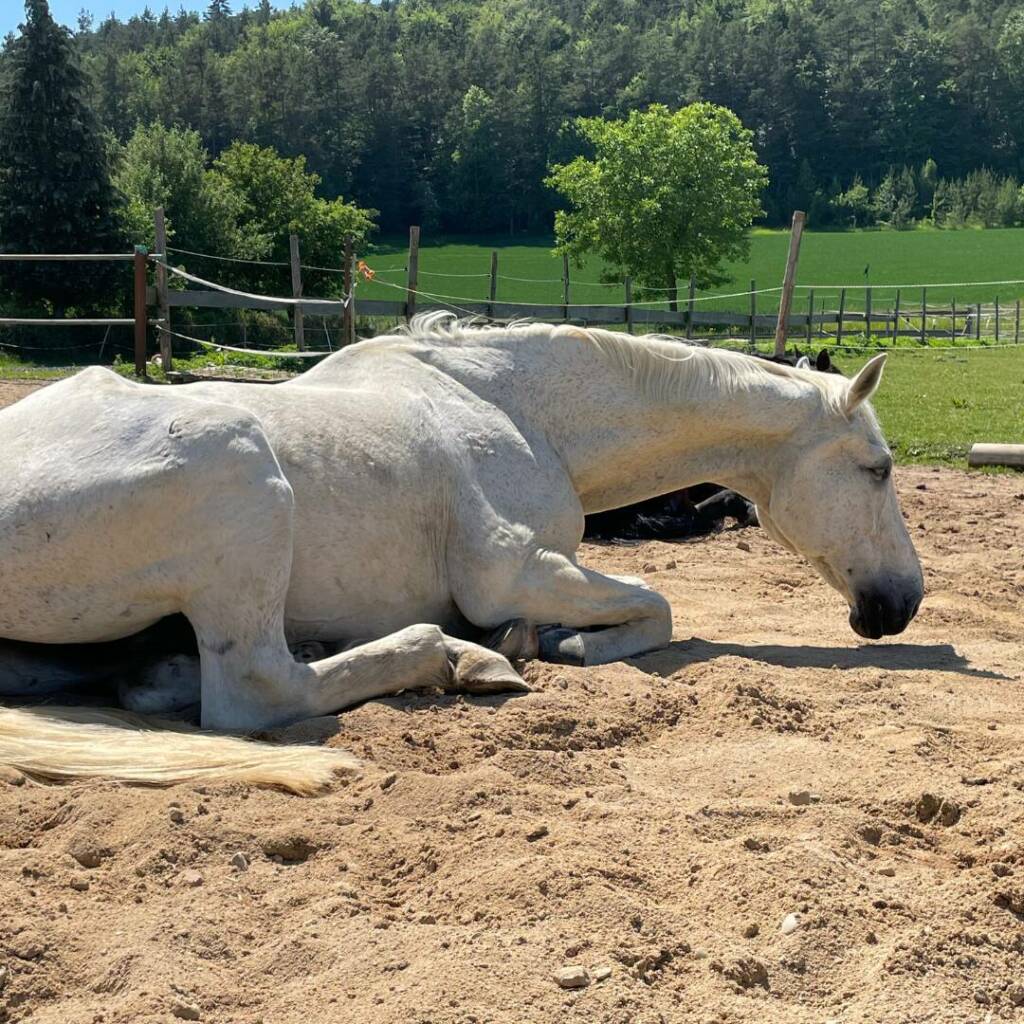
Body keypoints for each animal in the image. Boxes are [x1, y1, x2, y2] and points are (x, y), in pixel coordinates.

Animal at [0, 315, 923, 789]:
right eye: (877, 469)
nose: (903, 602)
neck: (513, 403)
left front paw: (546, 639)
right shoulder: (509, 571)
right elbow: (657, 606)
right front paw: (564, 643)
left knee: (154, 681)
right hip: (240, 475)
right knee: (256, 691)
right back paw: (457, 657)